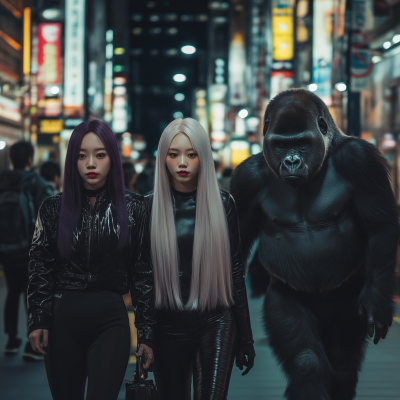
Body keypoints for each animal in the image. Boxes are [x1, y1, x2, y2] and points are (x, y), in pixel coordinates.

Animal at [230, 90, 400, 400]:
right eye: (281, 145)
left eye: (302, 143)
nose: (292, 161)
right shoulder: (246, 179)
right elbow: (305, 361)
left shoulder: (361, 160)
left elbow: (380, 227)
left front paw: (379, 302)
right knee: (311, 361)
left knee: (343, 366)